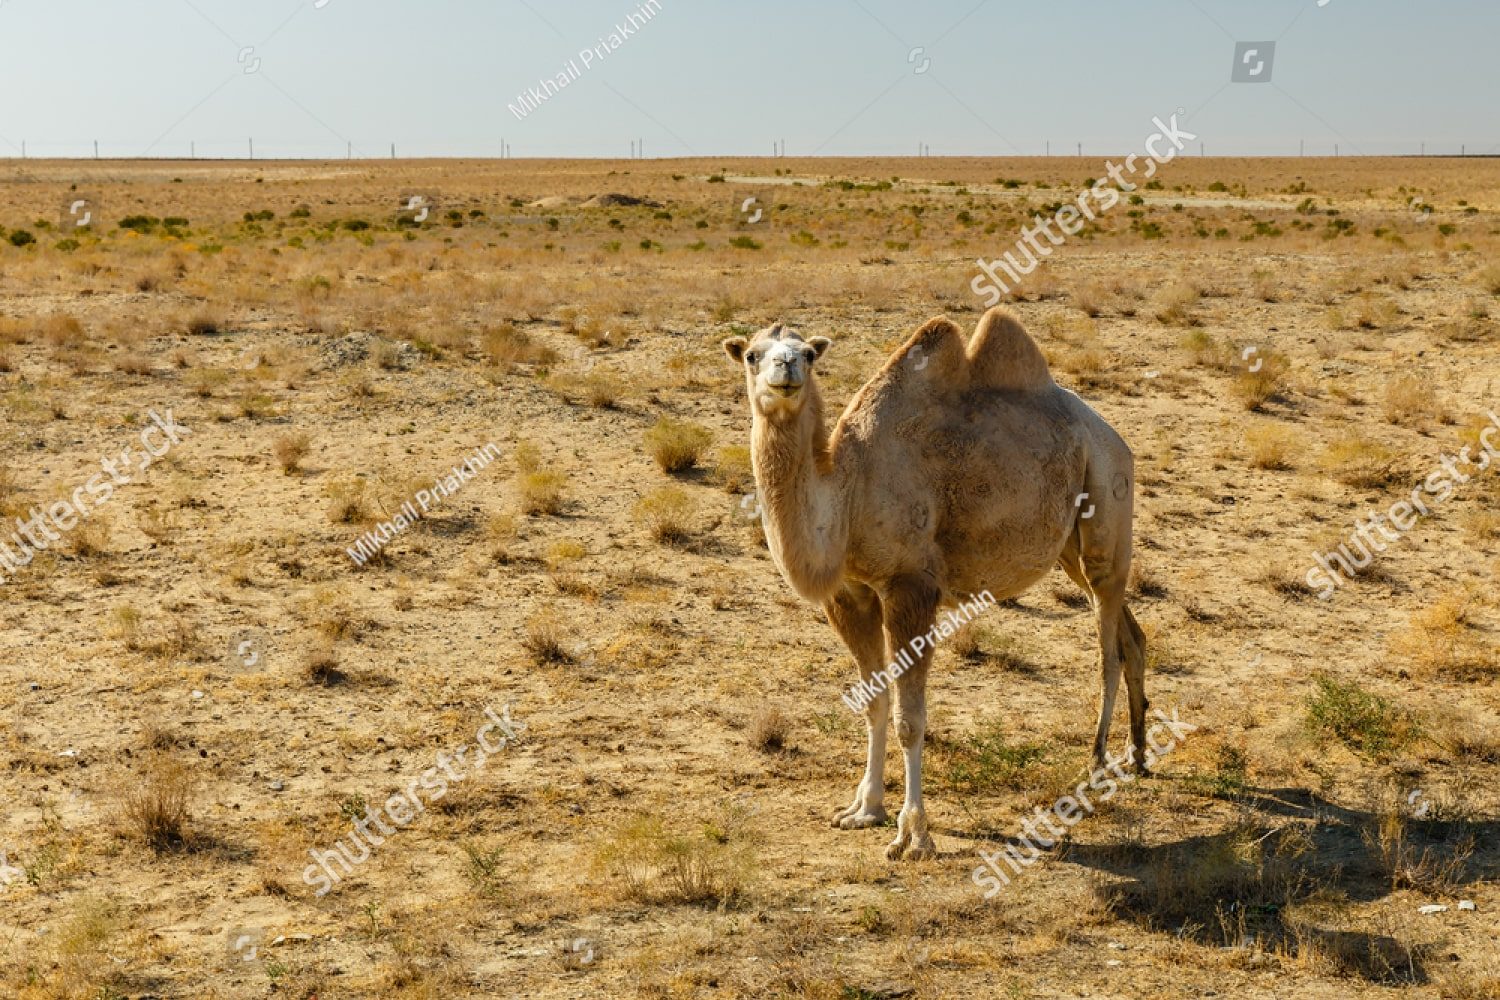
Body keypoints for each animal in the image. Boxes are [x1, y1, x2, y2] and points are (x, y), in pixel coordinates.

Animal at [722, 307, 1147, 861]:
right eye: (752, 354)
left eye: (809, 353)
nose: (786, 368)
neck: (847, 494)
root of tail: (1114, 436)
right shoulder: (850, 593)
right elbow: (874, 701)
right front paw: (864, 809)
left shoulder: (911, 587)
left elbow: (910, 719)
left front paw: (913, 835)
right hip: (1068, 548)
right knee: (1130, 632)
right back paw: (1138, 753)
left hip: (1107, 498)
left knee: (1107, 644)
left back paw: (1096, 762)